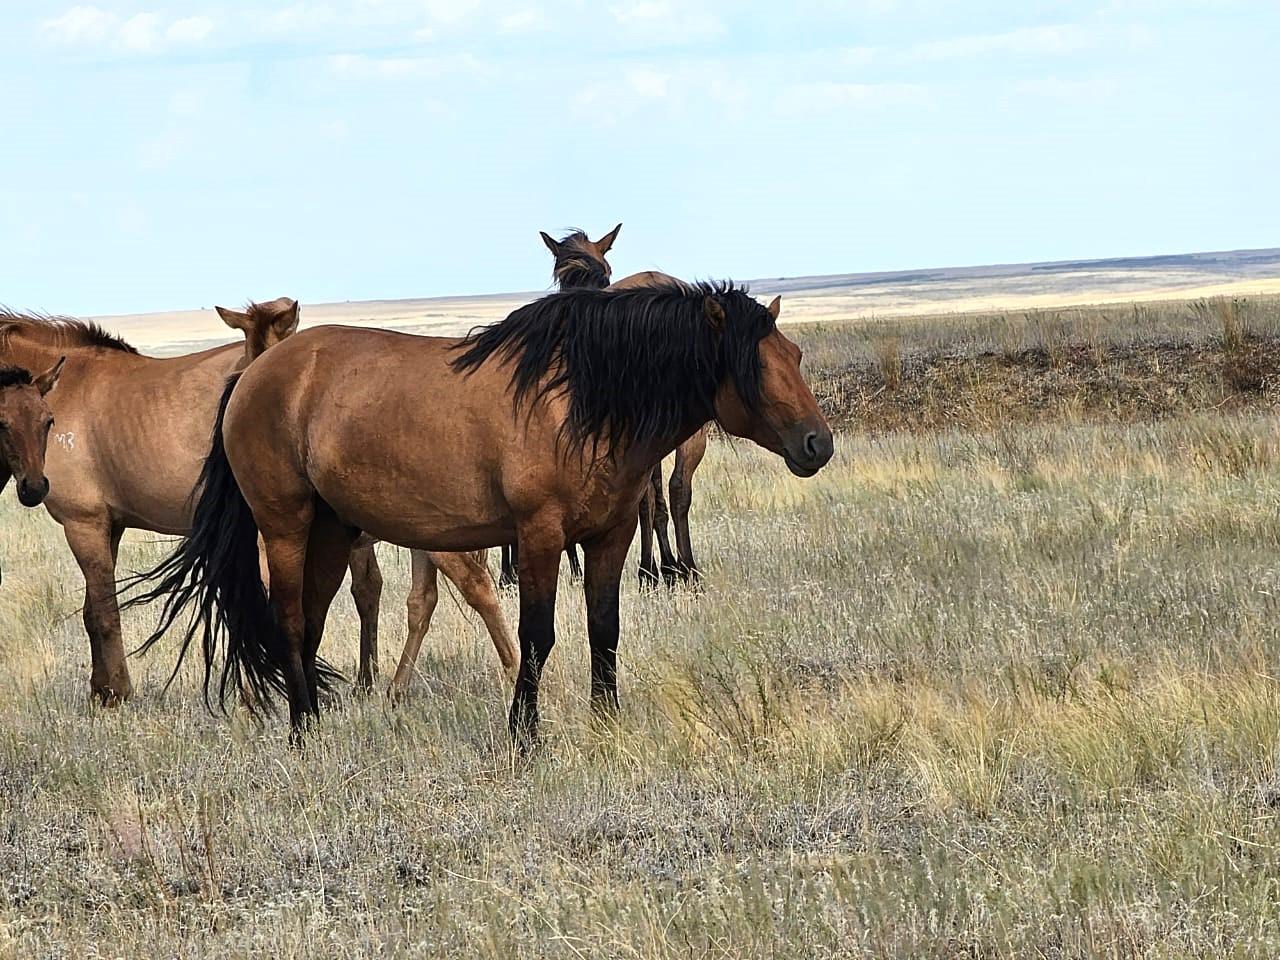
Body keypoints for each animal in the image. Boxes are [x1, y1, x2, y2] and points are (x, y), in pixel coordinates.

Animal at [127, 280, 829, 742]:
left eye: (793, 355)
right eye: (753, 367)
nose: (817, 445)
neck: (579, 400)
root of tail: (254, 376)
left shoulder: (612, 536)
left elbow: (604, 628)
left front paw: (606, 722)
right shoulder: (540, 536)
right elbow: (536, 636)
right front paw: (525, 734)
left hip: (330, 533)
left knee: (309, 622)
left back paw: (318, 721)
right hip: (286, 528)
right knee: (292, 618)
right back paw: (303, 730)